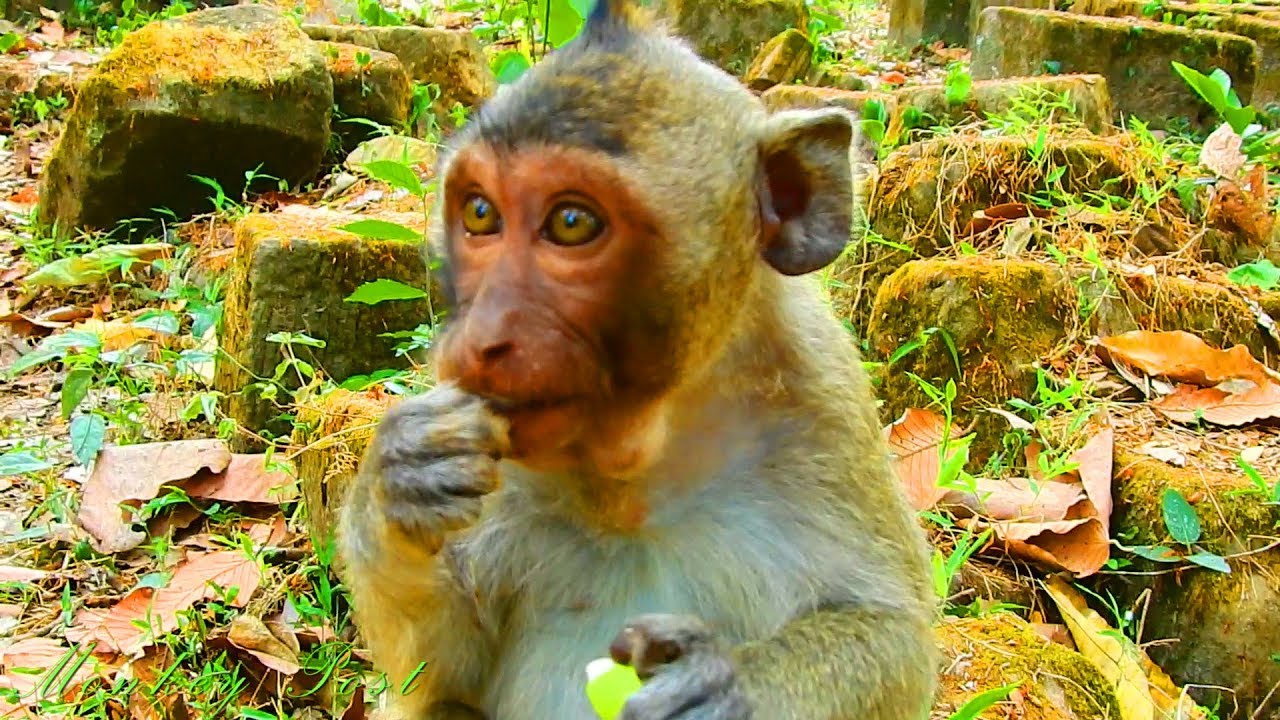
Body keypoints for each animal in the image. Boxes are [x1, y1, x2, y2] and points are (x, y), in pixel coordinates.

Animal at [335, 0, 940, 717]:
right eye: (480, 213)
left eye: (571, 223)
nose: (481, 339)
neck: (641, 471)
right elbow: (440, 676)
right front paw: (399, 478)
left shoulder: (825, 405)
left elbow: (893, 638)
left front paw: (727, 687)